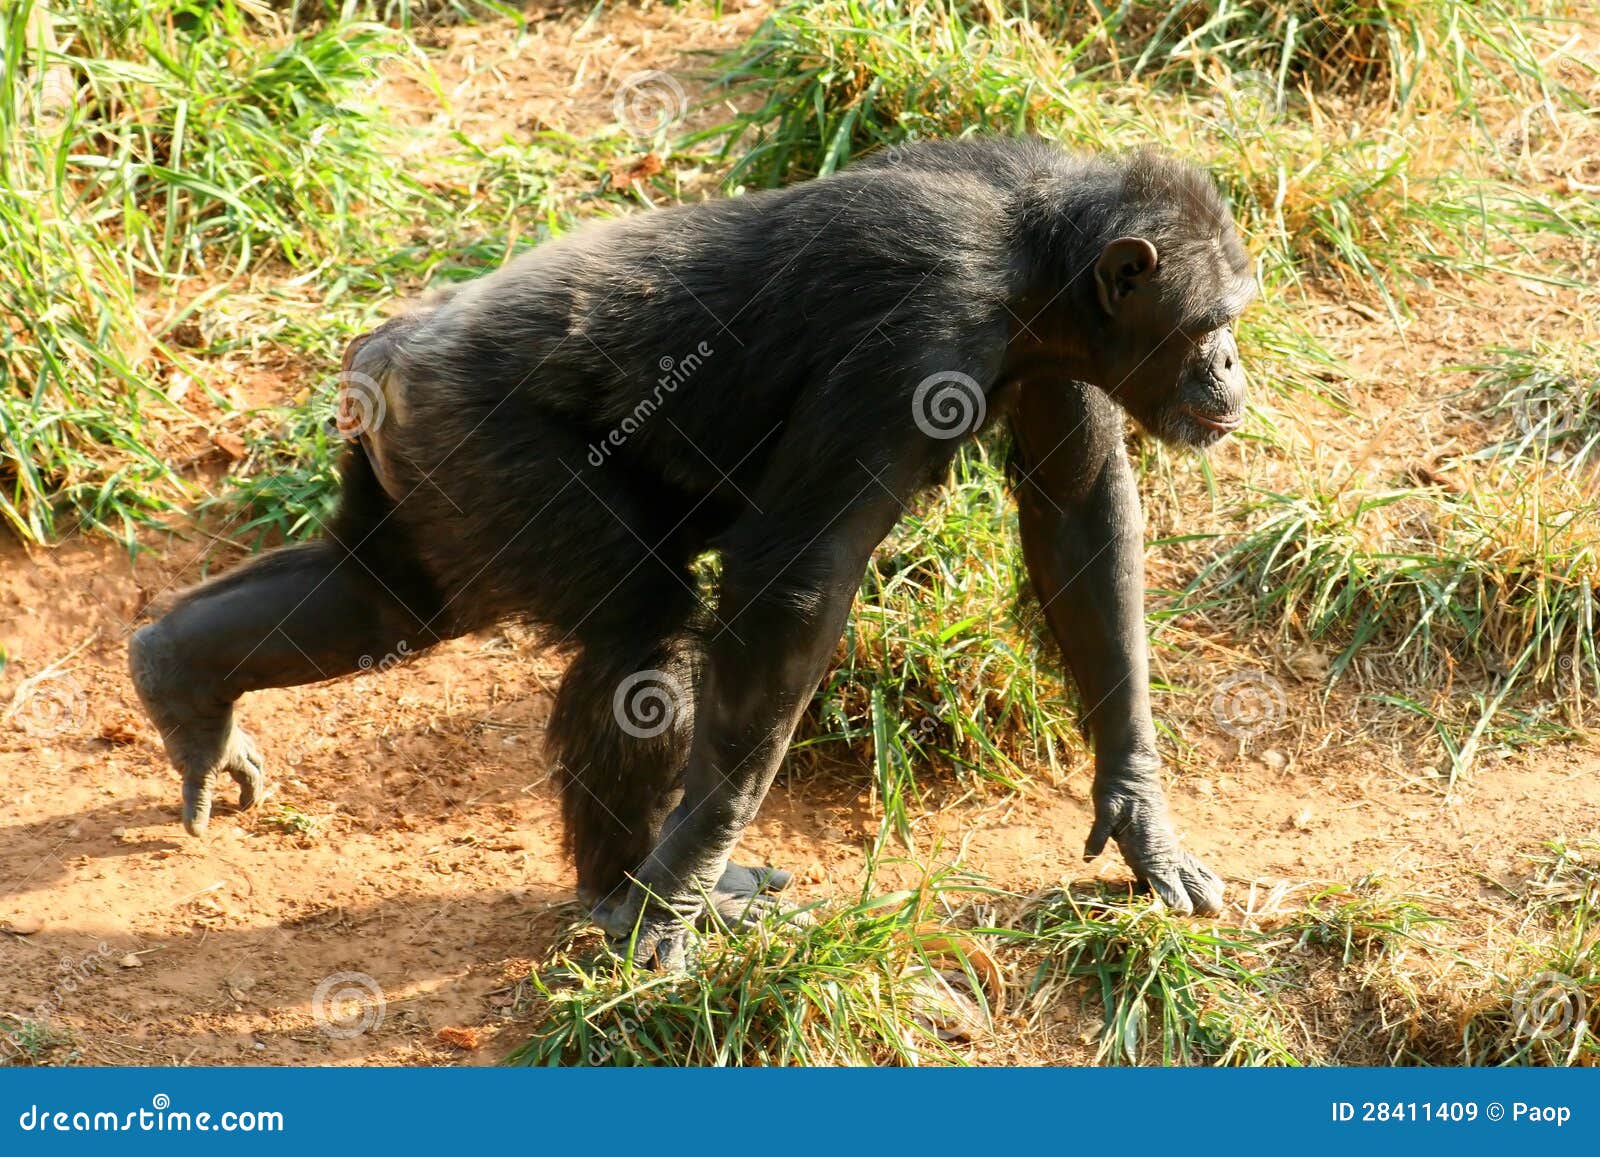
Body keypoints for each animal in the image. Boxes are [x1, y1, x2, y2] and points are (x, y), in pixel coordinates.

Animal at [130, 137, 1256, 968]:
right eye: (1210, 321)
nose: (1233, 363)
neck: (1030, 257)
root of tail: (380, 354)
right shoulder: (923, 329)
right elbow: (798, 585)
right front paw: (679, 886)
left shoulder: (1057, 358)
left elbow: (1077, 515)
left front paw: (1141, 814)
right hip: (488, 452)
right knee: (642, 637)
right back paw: (635, 890)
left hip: (425, 485)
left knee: (382, 601)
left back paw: (183, 683)